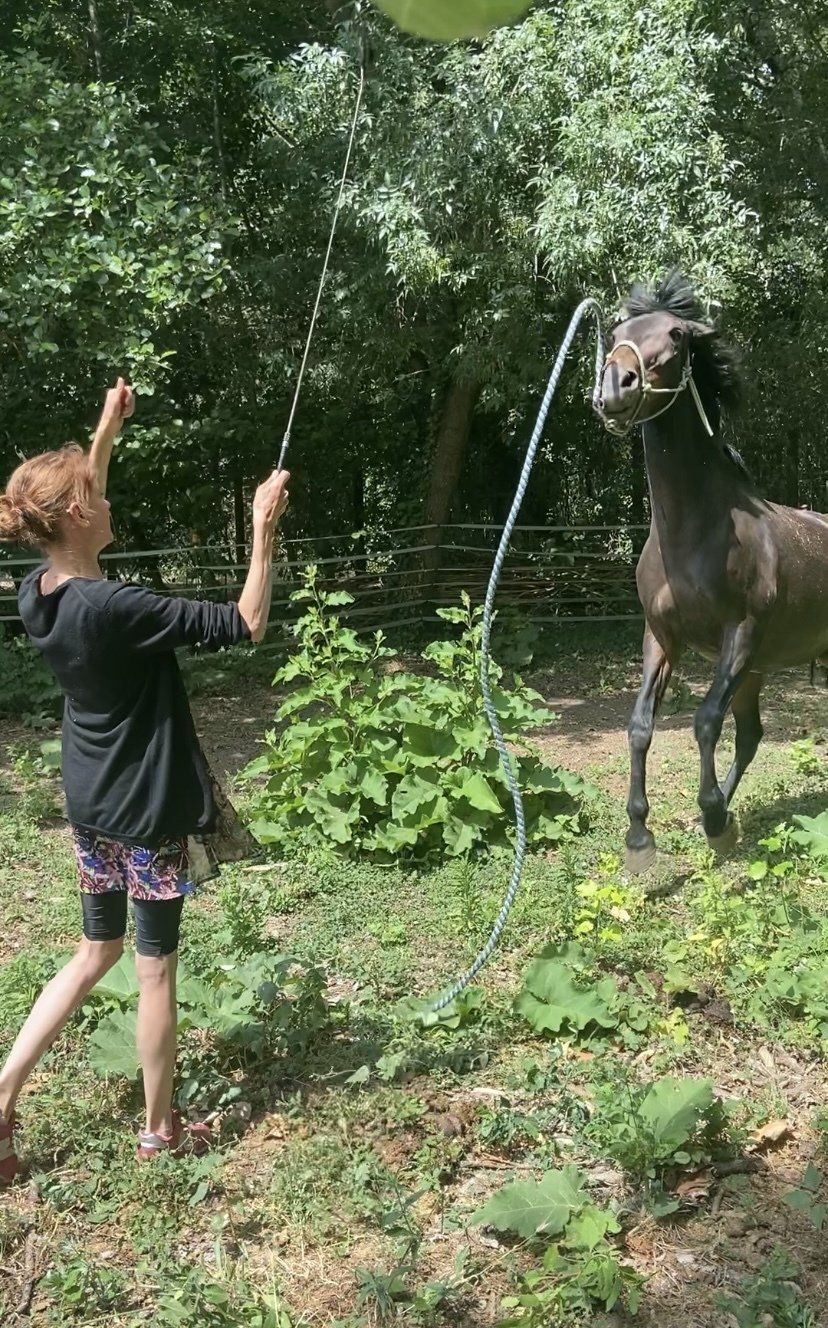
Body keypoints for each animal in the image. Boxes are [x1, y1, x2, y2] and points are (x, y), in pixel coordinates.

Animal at [595, 272, 828, 874]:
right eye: (618, 331)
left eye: (676, 336)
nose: (616, 386)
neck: (693, 532)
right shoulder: (661, 637)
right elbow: (640, 726)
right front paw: (641, 836)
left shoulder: (739, 635)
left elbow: (704, 722)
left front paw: (715, 818)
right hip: (757, 672)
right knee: (750, 736)